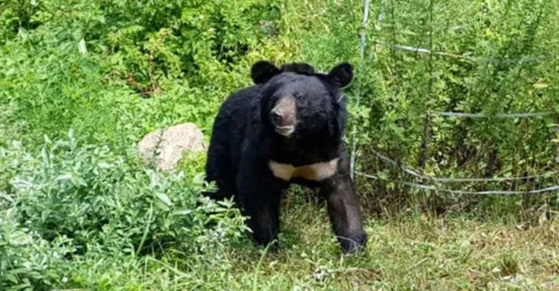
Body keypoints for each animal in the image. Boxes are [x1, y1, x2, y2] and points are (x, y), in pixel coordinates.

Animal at [206, 60, 368, 254]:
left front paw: (354, 247)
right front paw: (269, 245)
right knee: (218, 186)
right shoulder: (262, 151)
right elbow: (257, 193)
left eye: (301, 97)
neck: (299, 141)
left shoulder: (330, 156)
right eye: (274, 98)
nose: (278, 115)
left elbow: (343, 199)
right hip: (224, 143)